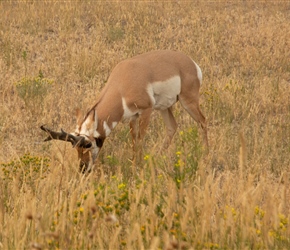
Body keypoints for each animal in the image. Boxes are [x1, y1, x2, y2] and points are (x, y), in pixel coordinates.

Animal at [41, 50, 208, 173]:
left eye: (88, 144)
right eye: (76, 148)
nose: (83, 168)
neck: (122, 84)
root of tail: (191, 63)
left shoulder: (146, 111)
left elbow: (140, 140)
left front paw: (139, 167)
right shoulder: (133, 117)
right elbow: (134, 142)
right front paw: (135, 166)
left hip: (188, 101)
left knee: (203, 121)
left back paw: (206, 153)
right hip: (165, 108)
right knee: (172, 127)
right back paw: (156, 157)